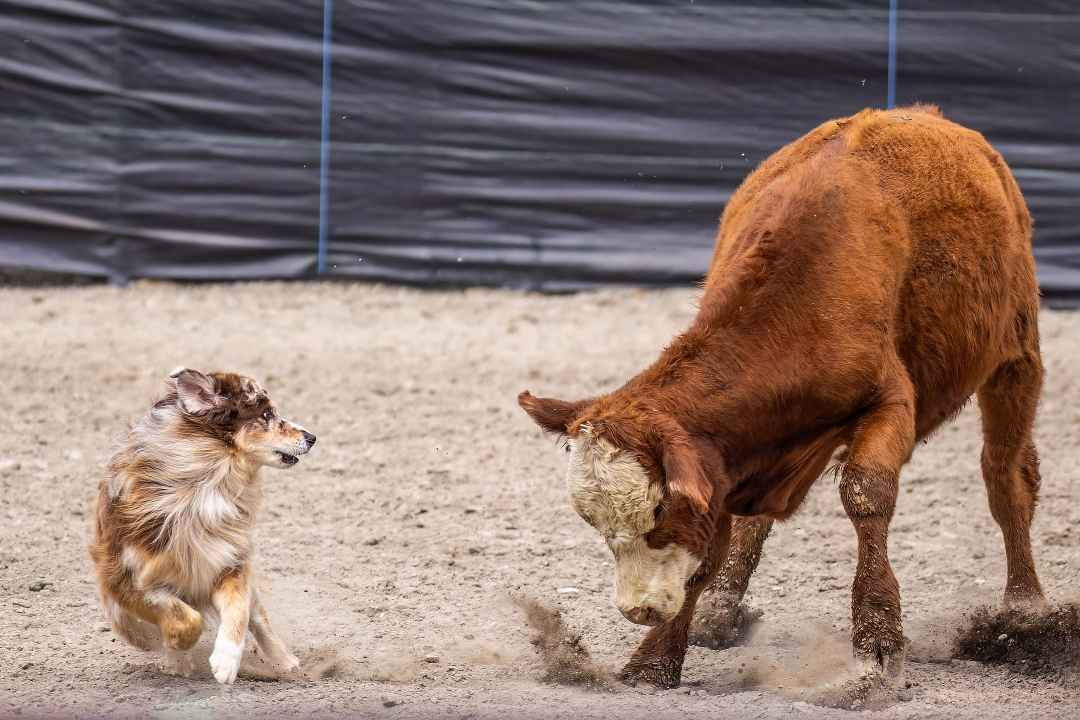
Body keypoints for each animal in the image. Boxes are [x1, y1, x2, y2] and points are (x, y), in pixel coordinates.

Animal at [518, 105, 1046, 689]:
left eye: (659, 510)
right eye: (595, 523)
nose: (638, 610)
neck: (796, 304)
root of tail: (925, 116)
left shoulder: (890, 402)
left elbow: (866, 493)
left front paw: (879, 640)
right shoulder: (723, 460)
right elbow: (707, 552)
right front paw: (655, 660)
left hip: (1016, 353)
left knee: (1006, 477)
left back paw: (1024, 610)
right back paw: (721, 610)